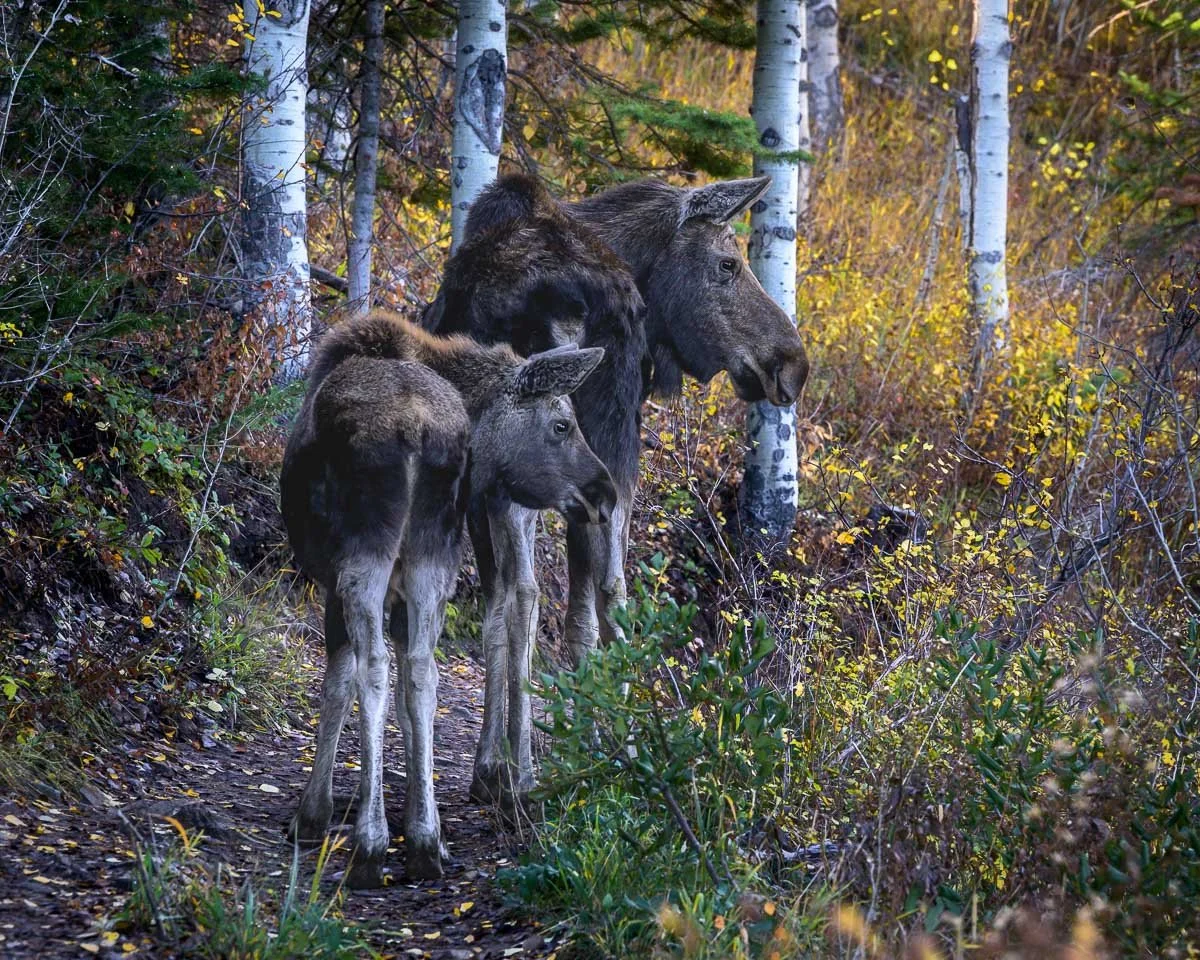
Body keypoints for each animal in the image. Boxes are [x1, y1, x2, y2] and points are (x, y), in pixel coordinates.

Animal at [280, 309, 616, 887]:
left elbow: (339, 682)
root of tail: (416, 426)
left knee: (376, 666)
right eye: (562, 425)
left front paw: (316, 811)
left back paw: (372, 845)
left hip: (367, 556)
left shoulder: (332, 580)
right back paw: (427, 837)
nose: (606, 494)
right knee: (427, 667)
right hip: (435, 556)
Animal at [422, 174, 810, 806]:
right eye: (727, 264)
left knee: (517, 594)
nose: (794, 365)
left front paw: (505, 759)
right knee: (583, 590)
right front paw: (596, 745)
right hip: (583, 444)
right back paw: (557, 767)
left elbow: (527, 607)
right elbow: (595, 602)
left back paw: (509, 770)